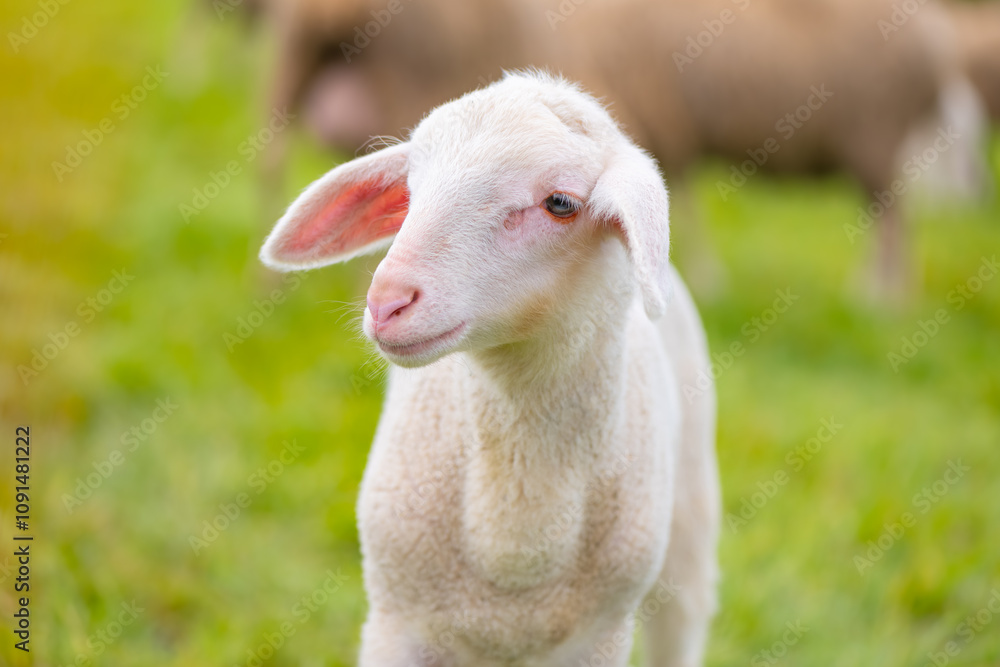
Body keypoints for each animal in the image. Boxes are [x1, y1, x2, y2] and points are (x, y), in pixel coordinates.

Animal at [259, 71, 721, 667]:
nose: (387, 302)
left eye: (561, 203)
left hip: (689, 523)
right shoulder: (395, 622)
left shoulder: (601, 635)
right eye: (410, 191)